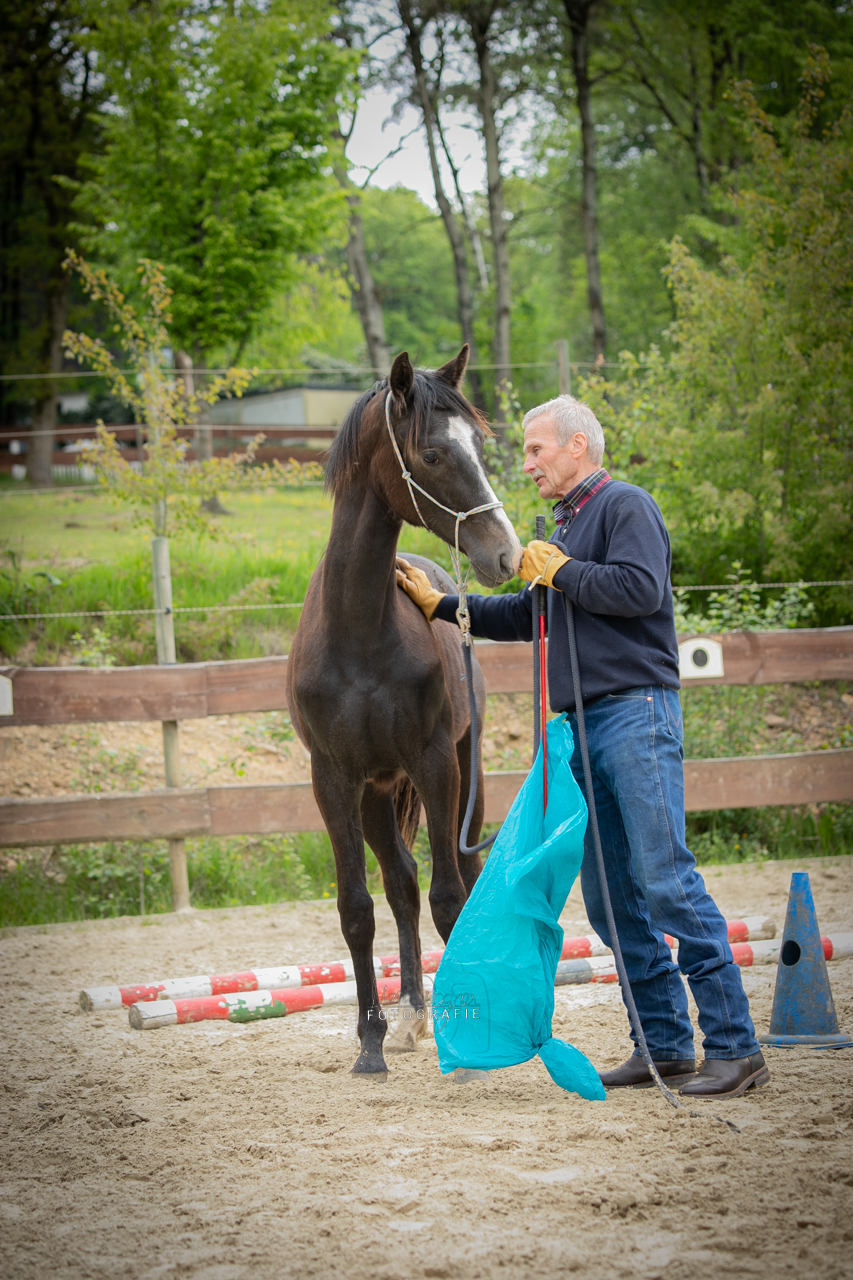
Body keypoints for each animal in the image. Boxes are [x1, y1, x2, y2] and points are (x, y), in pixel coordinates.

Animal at [284, 345, 517, 1075]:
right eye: (434, 454)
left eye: (480, 445)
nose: (505, 553)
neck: (359, 629)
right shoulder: (333, 779)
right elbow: (358, 908)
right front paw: (370, 1043)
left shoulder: (436, 761)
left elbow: (450, 897)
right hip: (377, 794)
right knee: (402, 884)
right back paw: (411, 1012)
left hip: (461, 776)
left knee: (461, 877)